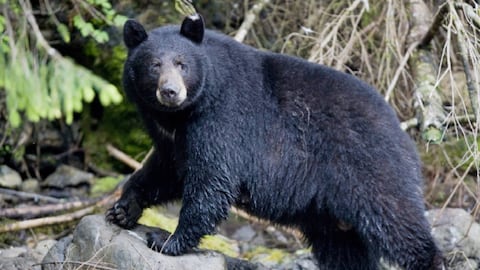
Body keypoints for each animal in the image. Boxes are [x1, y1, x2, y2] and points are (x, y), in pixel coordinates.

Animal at [107, 14, 444, 270]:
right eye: (154, 65)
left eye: (181, 63)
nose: (170, 92)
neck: (181, 115)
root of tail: (404, 136)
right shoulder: (173, 139)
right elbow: (165, 171)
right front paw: (124, 208)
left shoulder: (222, 120)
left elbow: (211, 181)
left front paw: (168, 240)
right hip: (330, 216)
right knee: (345, 252)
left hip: (370, 169)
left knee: (396, 220)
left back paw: (428, 259)